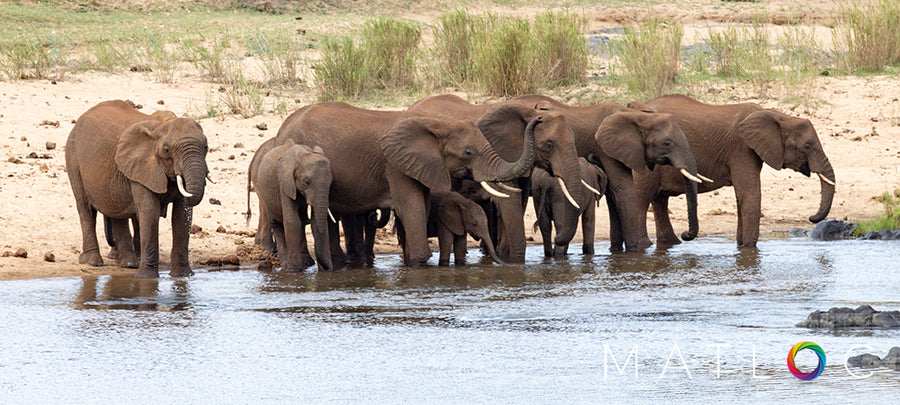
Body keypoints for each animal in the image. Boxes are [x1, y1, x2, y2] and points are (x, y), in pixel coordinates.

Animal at [274, 102, 536, 266]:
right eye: (468, 152)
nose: (537, 118)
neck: (437, 122)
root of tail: (282, 129)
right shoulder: (395, 166)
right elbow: (411, 209)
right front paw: (420, 262)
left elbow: (422, 208)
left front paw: (411, 262)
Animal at [406, 93, 584, 262]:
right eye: (549, 145)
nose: (557, 238)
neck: (528, 111)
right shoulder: (501, 150)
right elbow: (510, 202)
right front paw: (516, 262)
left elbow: (520, 200)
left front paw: (507, 258)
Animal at [506, 96, 704, 251]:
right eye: (668, 143)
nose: (685, 234)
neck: (636, 116)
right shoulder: (606, 148)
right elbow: (624, 189)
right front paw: (635, 252)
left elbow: (613, 193)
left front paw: (616, 251)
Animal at [632, 94, 836, 246]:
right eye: (807, 146)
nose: (811, 217)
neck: (777, 115)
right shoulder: (741, 149)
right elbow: (750, 194)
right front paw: (749, 247)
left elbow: (741, 197)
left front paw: (741, 246)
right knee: (642, 199)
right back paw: (645, 246)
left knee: (659, 201)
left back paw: (671, 243)